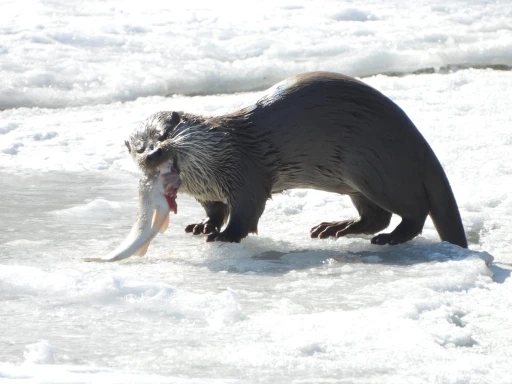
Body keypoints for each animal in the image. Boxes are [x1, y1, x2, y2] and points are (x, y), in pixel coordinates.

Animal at [127, 72, 468, 249]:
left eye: (164, 134)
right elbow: (215, 211)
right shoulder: (207, 193)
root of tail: (419, 144)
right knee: (375, 216)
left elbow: (245, 213)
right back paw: (335, 228)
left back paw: (389, 238)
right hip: (359, 180)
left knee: (414, 211)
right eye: (138, 148)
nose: (154, 154)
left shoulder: (246, 174)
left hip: (377, 170)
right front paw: (202, 226)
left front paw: (225, 236)